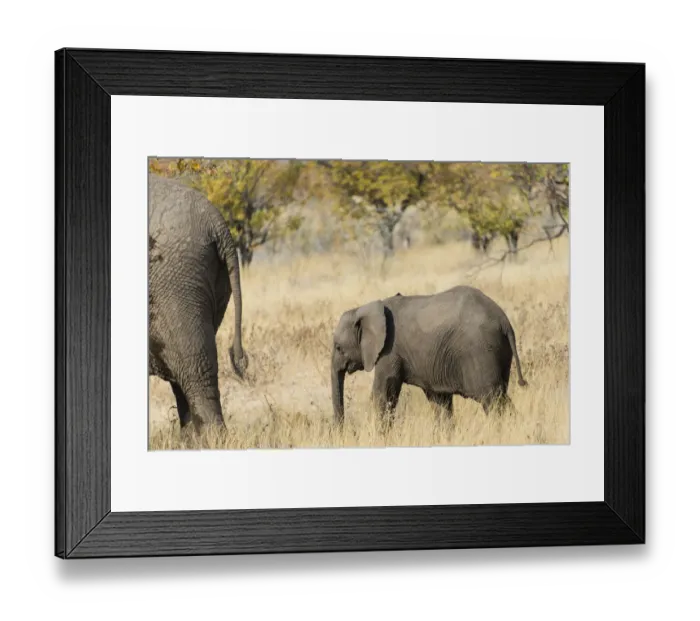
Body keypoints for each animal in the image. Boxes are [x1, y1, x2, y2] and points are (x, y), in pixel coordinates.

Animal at [331, 285, 527, 424]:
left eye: (339, 347)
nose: (343, 430)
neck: (364, 309)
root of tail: (505, 322)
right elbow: (440, 403)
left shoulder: (389, 351)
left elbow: (383, 394)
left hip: (481, 351)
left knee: (493, 399)